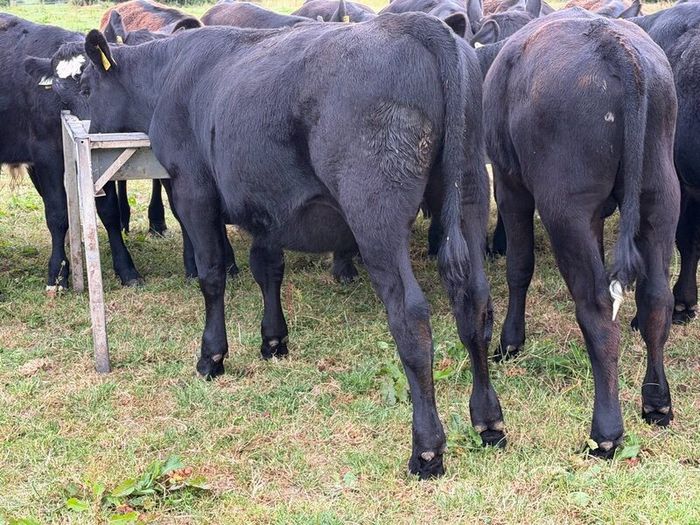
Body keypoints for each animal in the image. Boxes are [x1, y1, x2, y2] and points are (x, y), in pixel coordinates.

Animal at [2, 14, 142, 290]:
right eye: (57, 92)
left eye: (93, 86)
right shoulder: (45, 155)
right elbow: (57, 212)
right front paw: (57, 273)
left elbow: (109, 211)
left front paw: (126, 268)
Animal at [49, 13, 499, 478]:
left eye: (87, 88)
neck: (171, 72)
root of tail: (421, 27)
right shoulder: (266, 206)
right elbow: (267, 269)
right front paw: (273, 342)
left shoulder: (192, 189)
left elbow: (212, 274)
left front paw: (212, 357)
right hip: (469, 194)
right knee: (475, 302)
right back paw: (488, 422)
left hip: (375, 212)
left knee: (410, 316)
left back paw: (426, 450)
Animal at [483, 8, 679, 455]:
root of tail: (614, 45)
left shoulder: (510, 185)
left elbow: (519, 265)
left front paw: (511, 341)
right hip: (660, 197)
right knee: (656, 299)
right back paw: (656, 400)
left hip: (565, 209)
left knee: (597, 308)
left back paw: (605, 430)